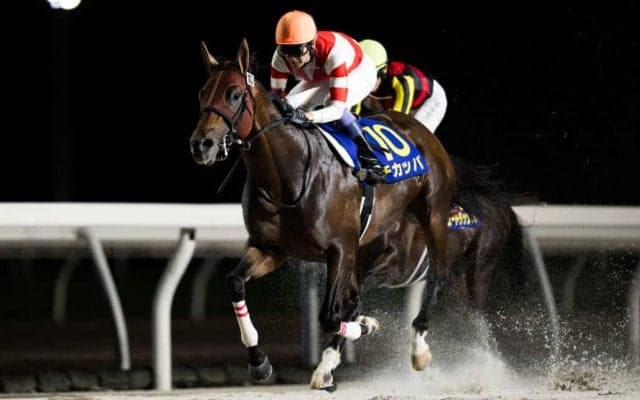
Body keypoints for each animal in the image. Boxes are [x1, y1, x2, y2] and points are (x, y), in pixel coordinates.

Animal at [190, 38, 458, 390]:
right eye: (202, 93)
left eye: (234, 94)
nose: (201, 145)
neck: (287, 176)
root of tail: (418, 129)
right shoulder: (270, 249)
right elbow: (235, 283)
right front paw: (259, 363)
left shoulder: (340, 249)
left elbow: (331, 315)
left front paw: (368, 326)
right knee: (355, 296)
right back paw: (327, 366)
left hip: (432, 217)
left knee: (437, 275)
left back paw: (418, 350)